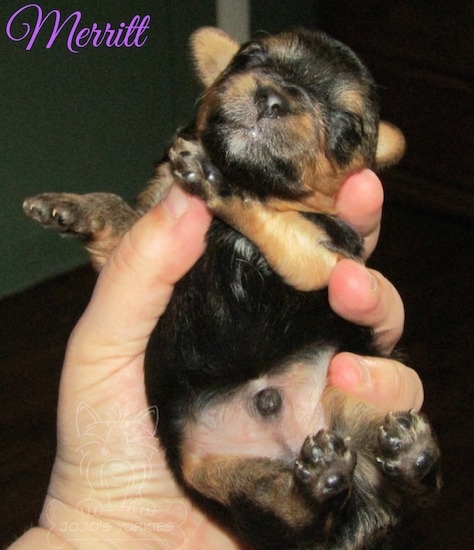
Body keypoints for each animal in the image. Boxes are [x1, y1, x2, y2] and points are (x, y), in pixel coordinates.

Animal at [23, 28, 440, 550]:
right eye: (250, 58)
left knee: (409, 491)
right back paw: (328, 478)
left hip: (352, 406)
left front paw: (218, 183)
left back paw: (411, 455)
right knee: (290, 512)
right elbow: (117, 214)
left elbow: (269, 217)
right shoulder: (133, 238)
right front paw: (69, 206)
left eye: (346, 128)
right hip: (215, 471)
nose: (275, 97)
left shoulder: (328, 261)